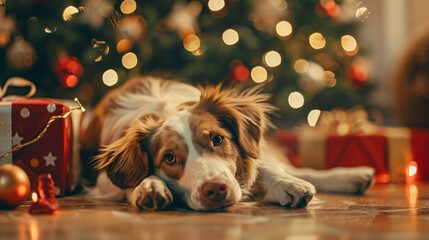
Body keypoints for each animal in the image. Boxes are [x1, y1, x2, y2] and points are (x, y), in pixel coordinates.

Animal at [80, 76, 374, 211]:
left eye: (218, 139)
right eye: (169, 158)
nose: (215, 190)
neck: (165, 108)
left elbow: (263, 167)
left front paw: (287, 185)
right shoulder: (104, 179)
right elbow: (132, 181)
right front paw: (149, 186)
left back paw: (352, 176)